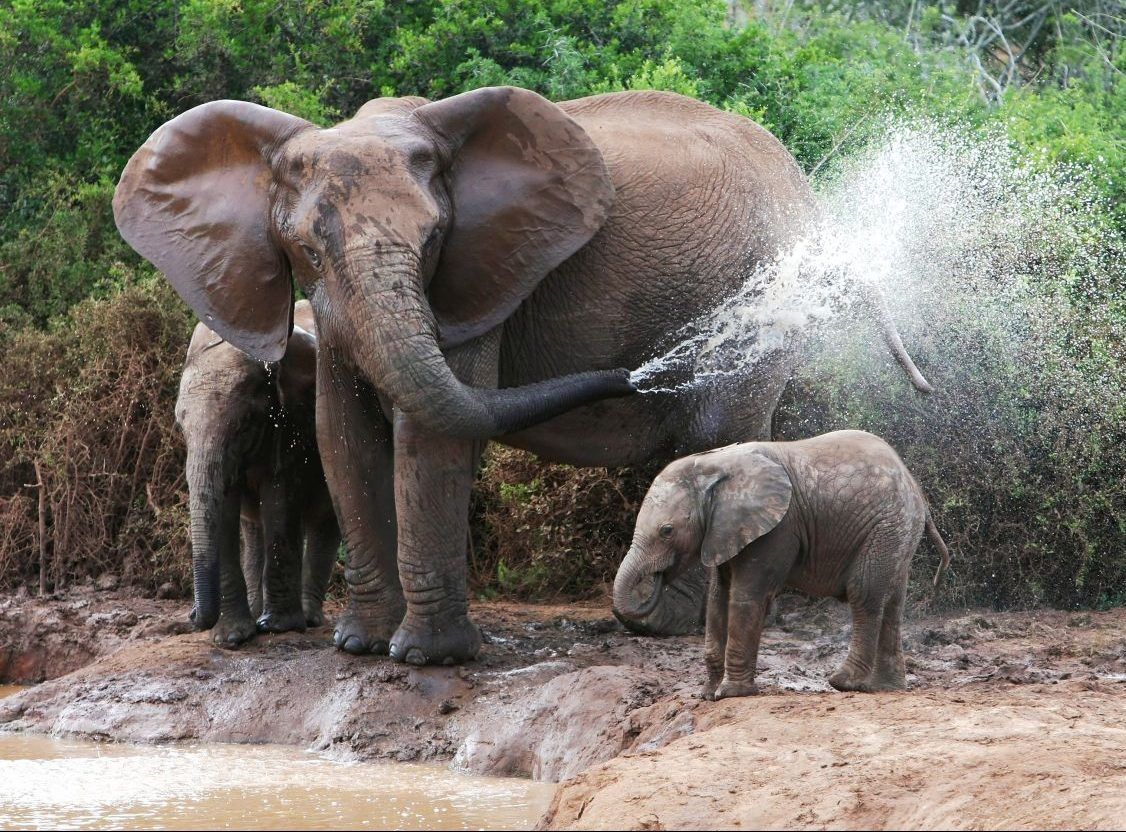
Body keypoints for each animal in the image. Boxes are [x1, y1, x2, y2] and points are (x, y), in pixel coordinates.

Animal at [173, 301, 340, 648]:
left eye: (243, 424)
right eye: (181, 427)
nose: (192, 616)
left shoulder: (292, 421)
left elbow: (279, 495)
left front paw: (278, 627)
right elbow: (225, 508)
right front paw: (231, 638)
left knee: (325, 520)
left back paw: (307, 619)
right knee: (253, 528)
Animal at [612, 432, 945, 698]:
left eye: (667, 531)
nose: (655, 579)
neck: (714, 463)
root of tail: (917, 491)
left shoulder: (777, 529)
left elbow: (746, 596)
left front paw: (731, 694)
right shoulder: (724, 531)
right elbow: (718, 599)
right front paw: (706, 695)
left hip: (885, 527)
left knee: (865, 594)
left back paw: (843, 682)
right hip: (898, 533)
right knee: (892, 603)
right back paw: (885, 688)